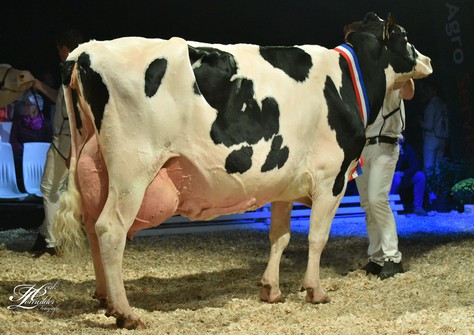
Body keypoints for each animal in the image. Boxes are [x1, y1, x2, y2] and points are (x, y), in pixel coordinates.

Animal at [55, 12, 434, 328]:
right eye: (403, 36)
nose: (428, 60)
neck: (346, 82)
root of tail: (85, 52)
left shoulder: (284, 183)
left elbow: (280, 236)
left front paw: (271, 289)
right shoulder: (332, 178)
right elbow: (317, 237)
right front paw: (315, 291)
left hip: (94, 168)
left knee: (91, 226)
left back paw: (104, 298)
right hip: (133, 169)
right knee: (110, 230)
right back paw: (126, 312)